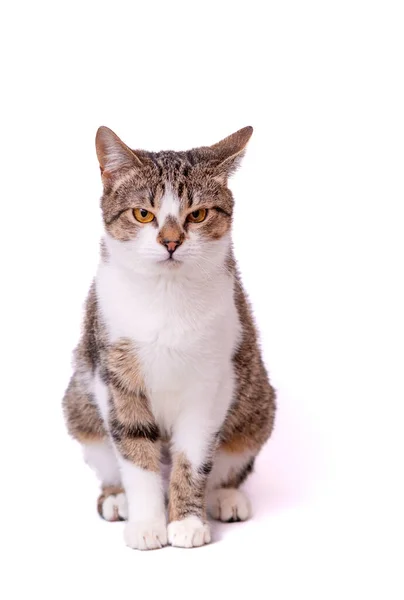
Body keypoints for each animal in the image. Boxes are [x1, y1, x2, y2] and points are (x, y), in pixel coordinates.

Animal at [63, 125, 276, 548]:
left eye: (198, 214)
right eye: (143, 213)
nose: (171, 242)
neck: (166, 294)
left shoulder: (211, 381)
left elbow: (193, 457)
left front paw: (188, 522)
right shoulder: (114, 373)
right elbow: (134, 449)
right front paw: (147, 524)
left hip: (257, 404)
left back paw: (225, 496)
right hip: (78, 404)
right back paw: (117, 499)